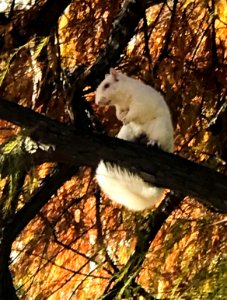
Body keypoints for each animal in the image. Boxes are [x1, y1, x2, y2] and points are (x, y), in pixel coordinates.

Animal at [95, 69, 173, 211]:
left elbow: (134, 112)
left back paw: (153, 143)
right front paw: (121, 117)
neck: (122, 99)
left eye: (106, 85)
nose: (97, 102)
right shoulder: (119, 107)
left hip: (159, 128)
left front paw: (126, 118)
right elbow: (119, 113)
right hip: (127, 132)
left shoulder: (140, 102)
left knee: (158, 139)